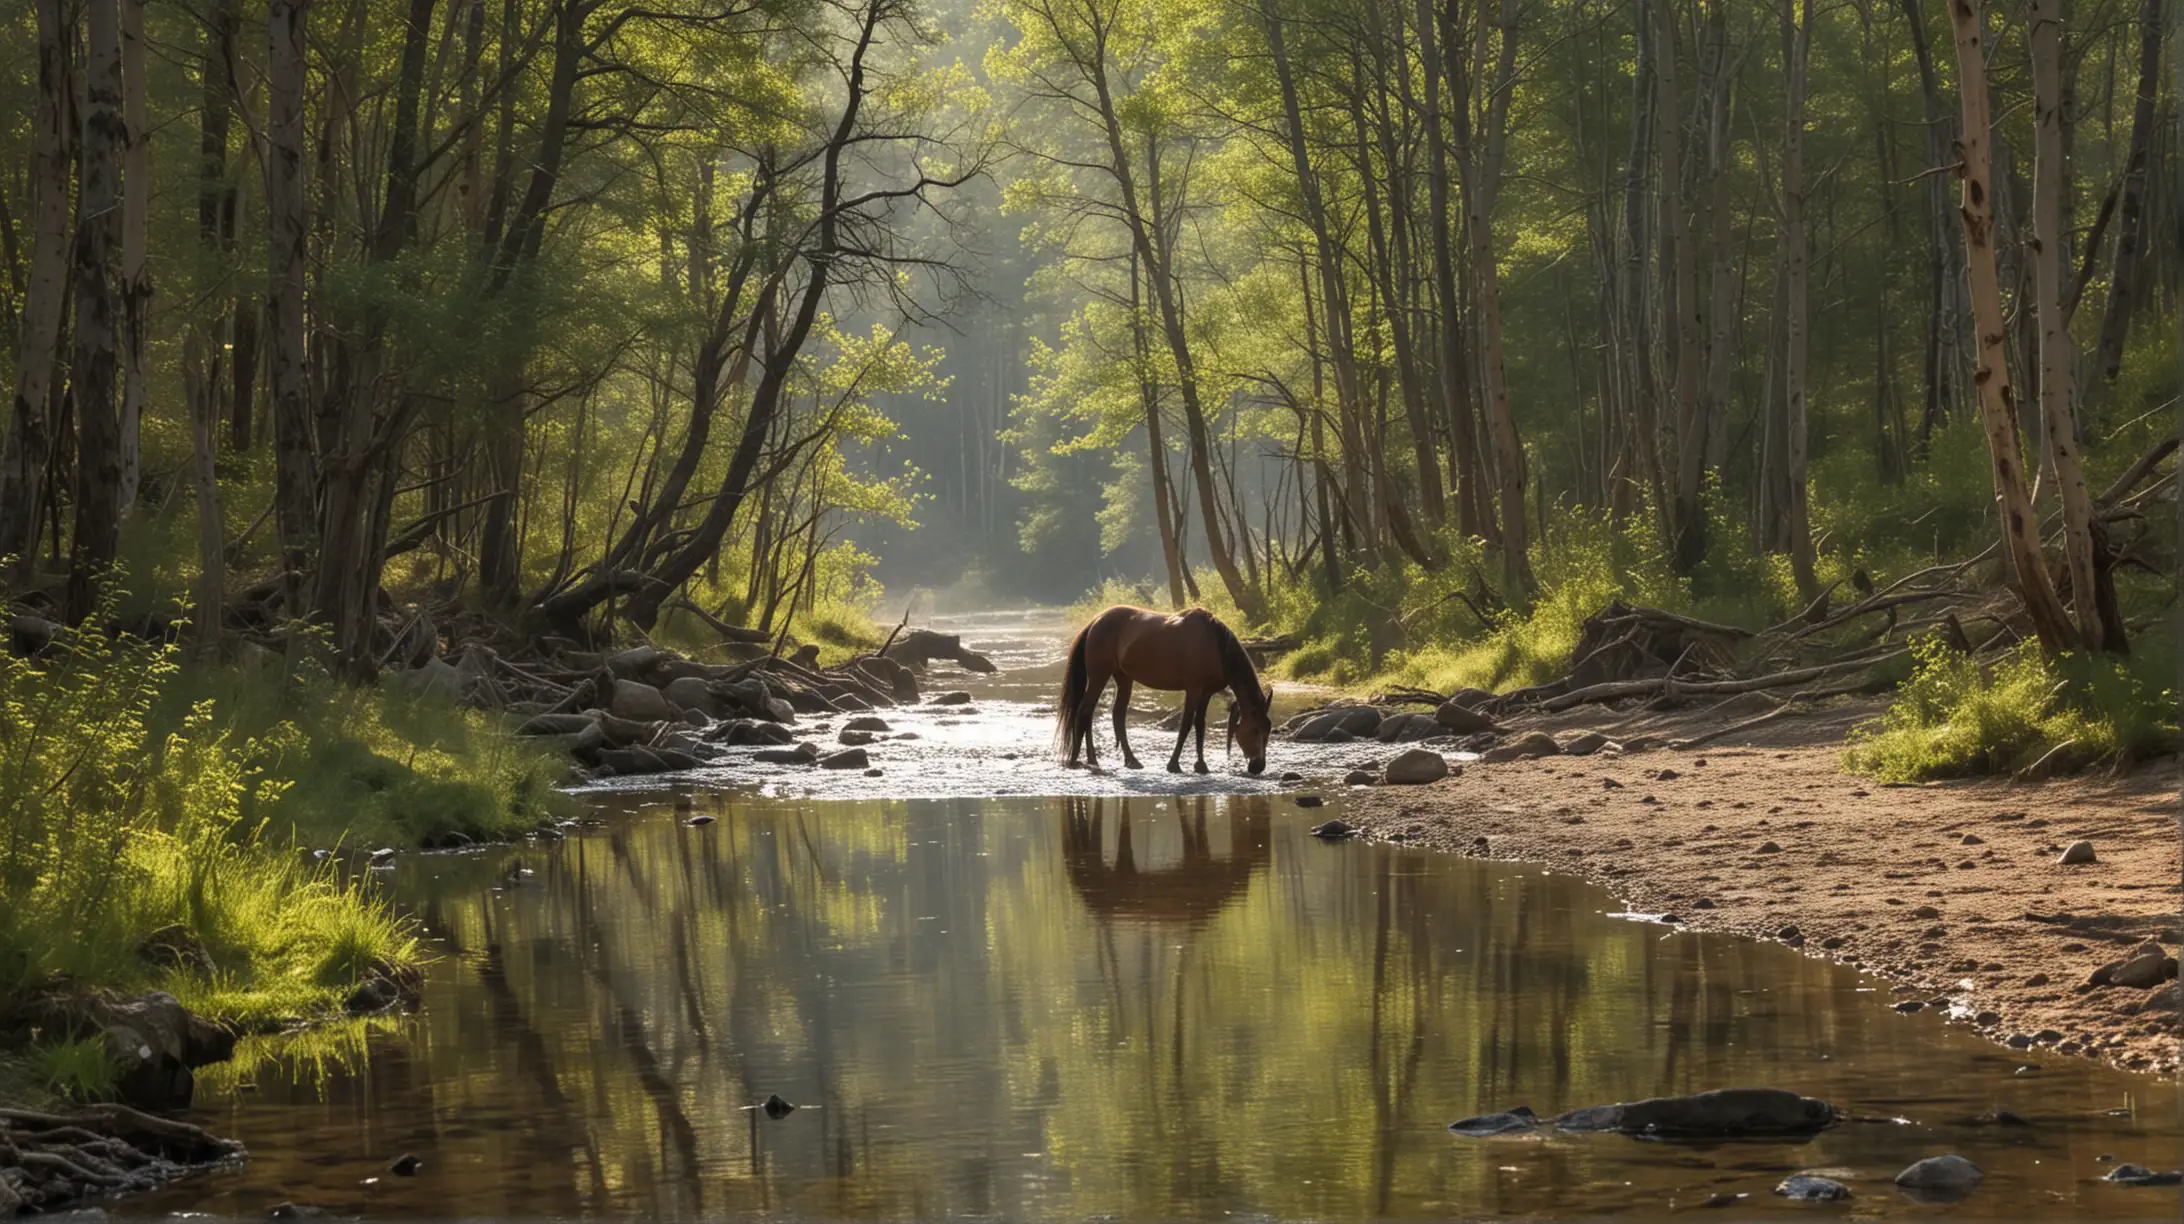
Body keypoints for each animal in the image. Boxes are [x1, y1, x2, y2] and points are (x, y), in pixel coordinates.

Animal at [1052, 603, 1275, 769]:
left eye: (1268, 729)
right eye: (1254, 729)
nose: (1258, 767)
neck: (1215, 646)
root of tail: (1095, 622)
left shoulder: (1206, 693)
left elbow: (1200, 725)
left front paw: (1201, 765)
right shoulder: (1193, 690)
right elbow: (1186, 724)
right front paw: (1174, 764)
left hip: (1123, 678)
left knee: (1115, 715)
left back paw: (1127, 760)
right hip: (1099, 676)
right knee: (1085, 711)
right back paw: (1080, 759)